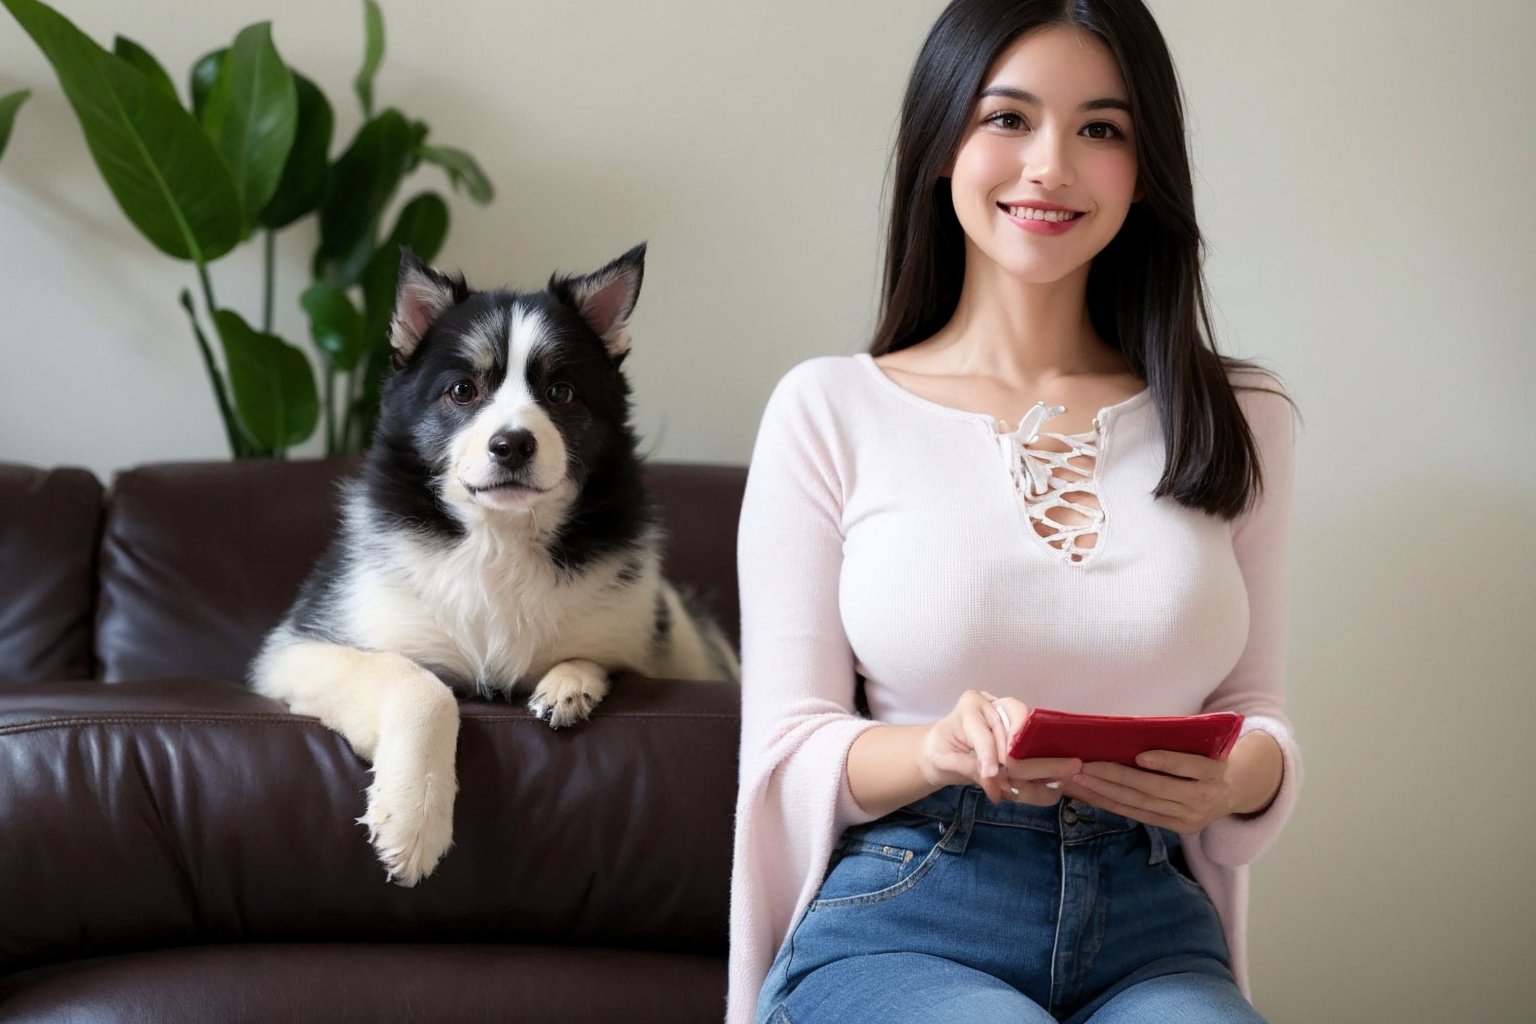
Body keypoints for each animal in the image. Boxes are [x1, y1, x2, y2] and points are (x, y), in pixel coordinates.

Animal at [250, 244, 737, 884]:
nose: (511, 445)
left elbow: (596, 658)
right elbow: (423, 686)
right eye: (462, 390)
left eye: (561, 392)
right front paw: (414, 819)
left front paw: (570, 682)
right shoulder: (297, 649)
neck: (500, 536)